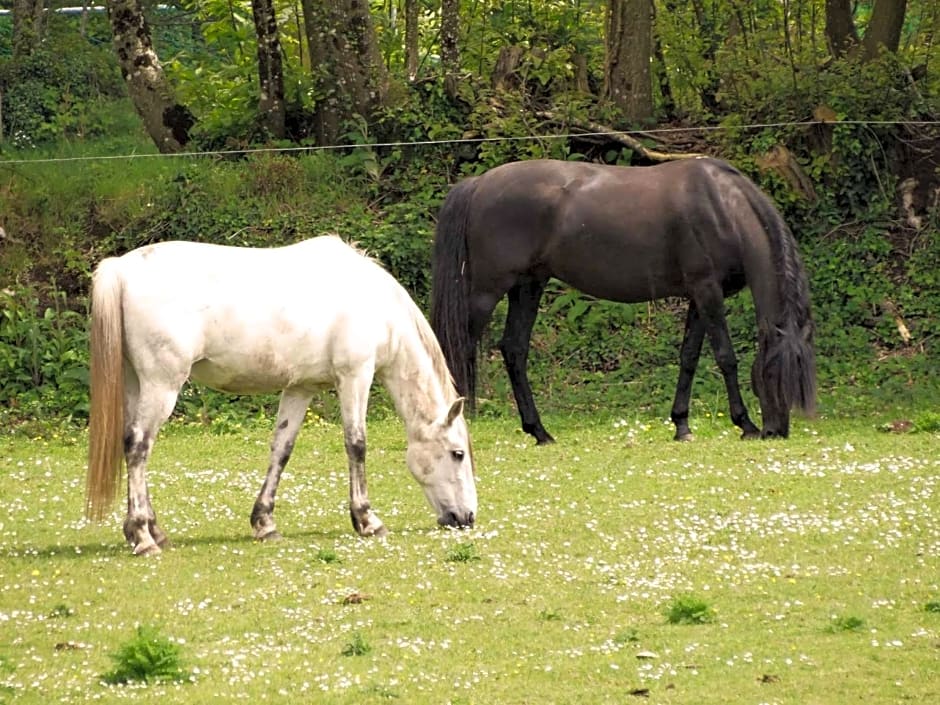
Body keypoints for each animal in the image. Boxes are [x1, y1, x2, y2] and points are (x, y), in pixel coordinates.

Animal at [86, 235, 477, 555]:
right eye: (457, 453)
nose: (467, 517)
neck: (375, 305)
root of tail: (121, 269)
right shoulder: (355, 376)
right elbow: (357, 444)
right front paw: (367, 520)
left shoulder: (300, 388)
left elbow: (282, 449)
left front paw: (265, 523)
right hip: (162, 385)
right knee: (138, 446)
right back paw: (143, 537)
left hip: (137, 384)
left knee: (133, 446)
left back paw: (153, 531)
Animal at [431, 157, 816, 445]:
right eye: (771, 372)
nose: (776, 431)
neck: (721, 208)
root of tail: (479, 183)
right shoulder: (708, 291)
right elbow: (725, 357)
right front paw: (745, 424)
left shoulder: (698, 295)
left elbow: (688, 358)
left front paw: (681, 425)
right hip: (488, 290)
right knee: (454, 346)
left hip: (528, 286)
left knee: (514, 349)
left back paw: (540, 432)